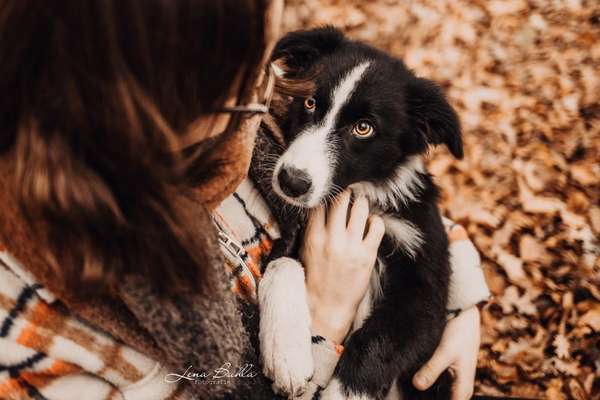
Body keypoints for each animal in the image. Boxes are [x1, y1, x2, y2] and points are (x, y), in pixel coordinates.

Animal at [253, 27, 464, 400]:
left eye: (364, 128)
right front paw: (286, 353)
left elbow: (377, 341)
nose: (291, 182)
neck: (360, 194)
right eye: (310, 103)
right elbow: (281, 265)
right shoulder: (295, 230)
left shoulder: (424, 287)